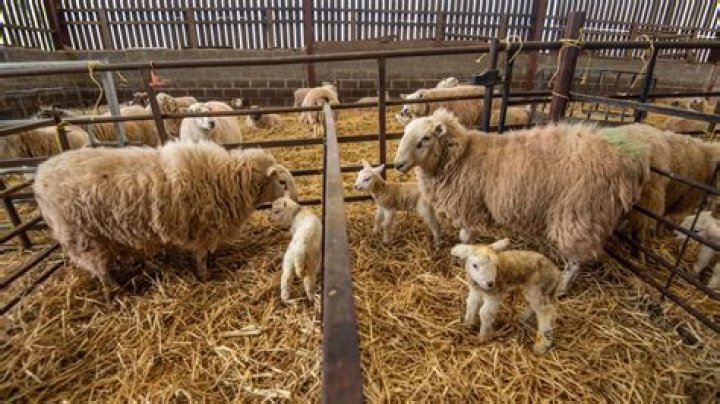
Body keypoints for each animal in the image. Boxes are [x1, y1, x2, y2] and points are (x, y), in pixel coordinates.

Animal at [33, 141, 298, 291]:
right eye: (282, 182)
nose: (297, 200)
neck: (228, 179)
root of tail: (40, 176)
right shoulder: (201, 228)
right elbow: (200, 257)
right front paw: (205, 277)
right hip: (82, 235)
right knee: (99, 269)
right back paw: (116, 290)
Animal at [394, 108, 648, 295]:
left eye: (425, 139)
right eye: (404, 133)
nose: (397, 164)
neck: (460, 158)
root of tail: (627, 164)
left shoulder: (469, 205)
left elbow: (465, 237)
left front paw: (464, 258)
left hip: (579, 213)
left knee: (576, 261)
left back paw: (561, 288)